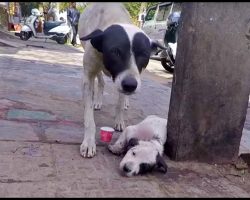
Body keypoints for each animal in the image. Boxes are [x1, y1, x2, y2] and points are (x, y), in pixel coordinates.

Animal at [79, 1, 167, 158]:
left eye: (144, 54)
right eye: (115, 52)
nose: (130, 85)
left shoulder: (129, 77)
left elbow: (119, 103)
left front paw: (119, 119)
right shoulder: (89, 73)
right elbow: (89, 117)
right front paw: (88, 143)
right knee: (101, 82)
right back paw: (98, 101)